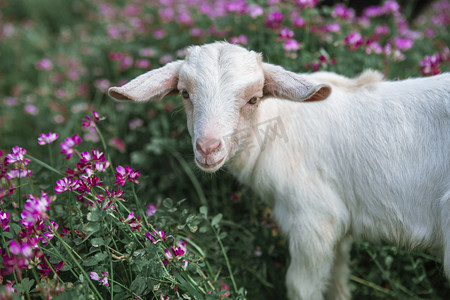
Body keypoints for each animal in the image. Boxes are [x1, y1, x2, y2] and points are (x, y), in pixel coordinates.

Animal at [110, 41, 450, 300]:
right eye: (184, 94)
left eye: (253, 99)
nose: (208, 148)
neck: (273, 126)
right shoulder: (339, 224)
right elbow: (338, 278)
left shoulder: (314, 219)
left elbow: (300, 287)